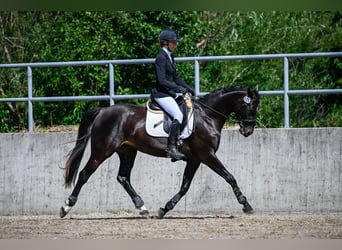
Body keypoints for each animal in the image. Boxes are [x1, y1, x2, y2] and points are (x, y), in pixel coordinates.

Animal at [60, 85, 260, 218]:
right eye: (251, 106)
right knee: (85, 174)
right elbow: (229, 177)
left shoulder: (195, 159)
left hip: (127, 152)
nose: (248, 131)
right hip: (102, 151)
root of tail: (103, 111)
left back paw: (142, 208)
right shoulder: (207, 155)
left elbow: (184, 187)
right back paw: (66, 207)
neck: (207, 116)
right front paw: (246, 204)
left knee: (123, 177)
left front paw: (164, 209)